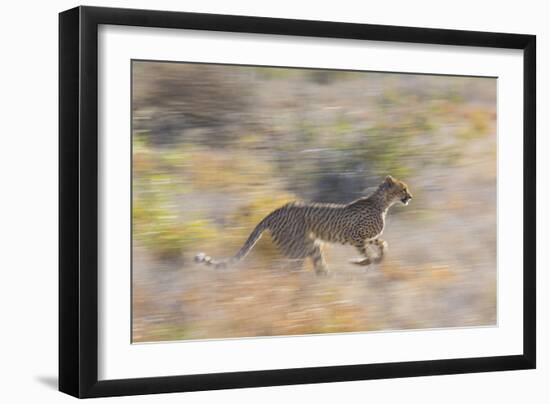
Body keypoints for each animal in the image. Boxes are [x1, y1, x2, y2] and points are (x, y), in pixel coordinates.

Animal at [196, 175, 412, 274]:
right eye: (403, 189)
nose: (410, 196)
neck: (382, 203)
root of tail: (277, 210)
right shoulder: (355, 237)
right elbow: (367, 254)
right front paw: (361, 262)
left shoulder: (368, 237)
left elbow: (382, 245)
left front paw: (378, 258)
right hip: (297, 247)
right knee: (286, 267)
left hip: (310, 245)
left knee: (313, 266)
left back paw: (324, 282)